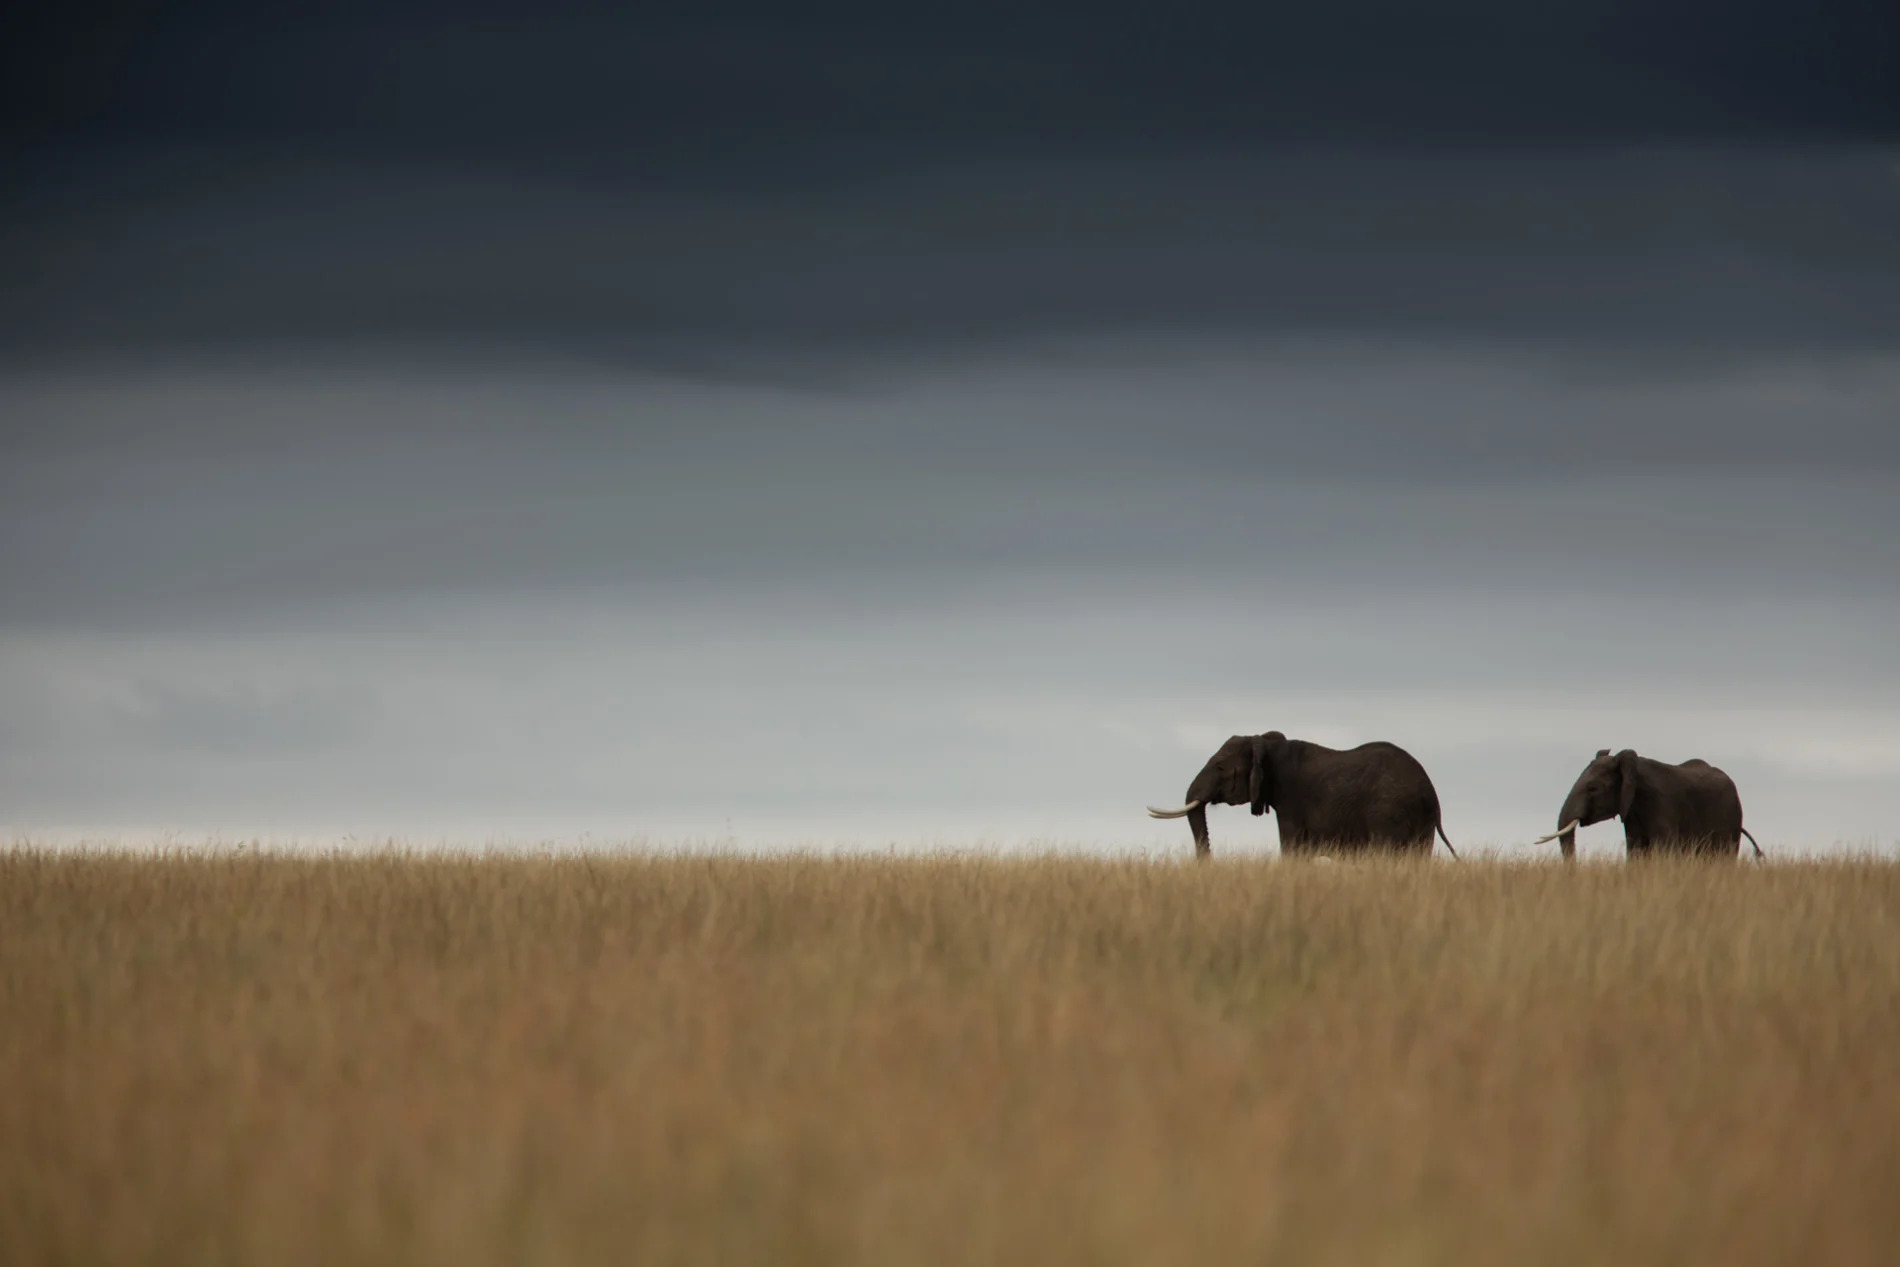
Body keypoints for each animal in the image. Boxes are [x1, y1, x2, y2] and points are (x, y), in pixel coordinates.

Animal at [1140, 733, 1451, 862]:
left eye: (1219, 767)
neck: (1267, 744)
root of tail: (1432, 796)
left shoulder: (1292, 802)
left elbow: (1291, 848)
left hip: (1388, 812)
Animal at [1527, 744, 1763, 862]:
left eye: (1593, 788)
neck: (1635, 768)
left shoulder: (1663, 805)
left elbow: (1664, 852)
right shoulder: (1632, 812)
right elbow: (1635, 850)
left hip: (1731, 819)